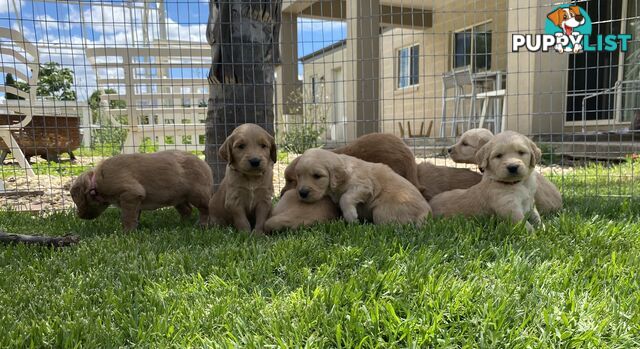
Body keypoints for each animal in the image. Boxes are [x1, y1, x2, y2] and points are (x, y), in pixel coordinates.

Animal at [70, 150, 212, 230]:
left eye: (77, 201)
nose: (79, 216)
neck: (96, 180)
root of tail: (206, 165)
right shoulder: (134, 200)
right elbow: (134, 216)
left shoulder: (130, 195)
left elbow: (127, 217)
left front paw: (127, 232)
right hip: (177, 197)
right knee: (187, 210)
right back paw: (181, 224)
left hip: (197, 194)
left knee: (205, 209)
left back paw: (202, 225)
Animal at [294, 147, 430, 224]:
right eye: (298, 176)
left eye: (317, 176)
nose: (302, 193)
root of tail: (426, 212)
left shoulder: (364, 186)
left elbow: (345, 197)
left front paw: (351, 217)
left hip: (382, 211)